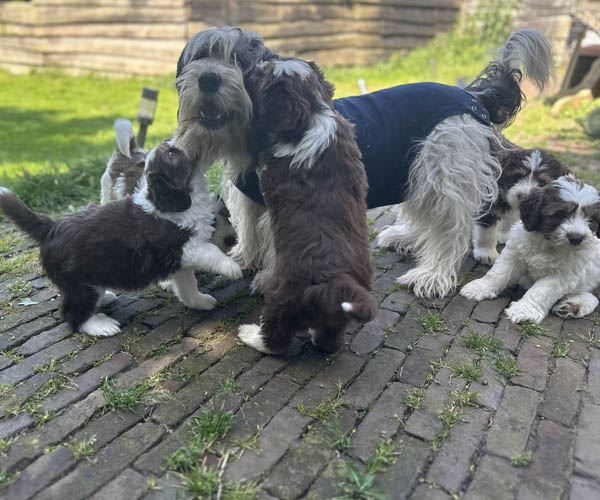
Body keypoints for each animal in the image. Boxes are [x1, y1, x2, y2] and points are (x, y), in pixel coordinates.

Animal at [0, 142, 242, 337]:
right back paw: (100, 326)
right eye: (171, 153)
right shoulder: (180, 247)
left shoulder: (179, 263)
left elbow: (187, 286)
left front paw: (200, 302)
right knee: (71, 313)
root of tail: (51, 226)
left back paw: (105, 297)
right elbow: (209, 251)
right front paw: (232, 267)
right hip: (78, 284)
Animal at [233, 58, 377, 354]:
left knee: (276, 336)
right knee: (329, 339)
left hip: (283, 294)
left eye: (265, 75)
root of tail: (337, 284)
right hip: (335, 315)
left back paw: (250, 335)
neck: (313, 112)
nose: (257, 65)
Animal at [461, 175, 600, 324]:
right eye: (560, 214)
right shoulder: (514, 252)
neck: (548, 243)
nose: (576, 238)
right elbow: (498, 273)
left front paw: (524, 310)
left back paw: (574, 305)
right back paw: (571, 306)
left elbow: (542, 291)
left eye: (591, 219)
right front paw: (480, 287)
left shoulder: (563, 273)